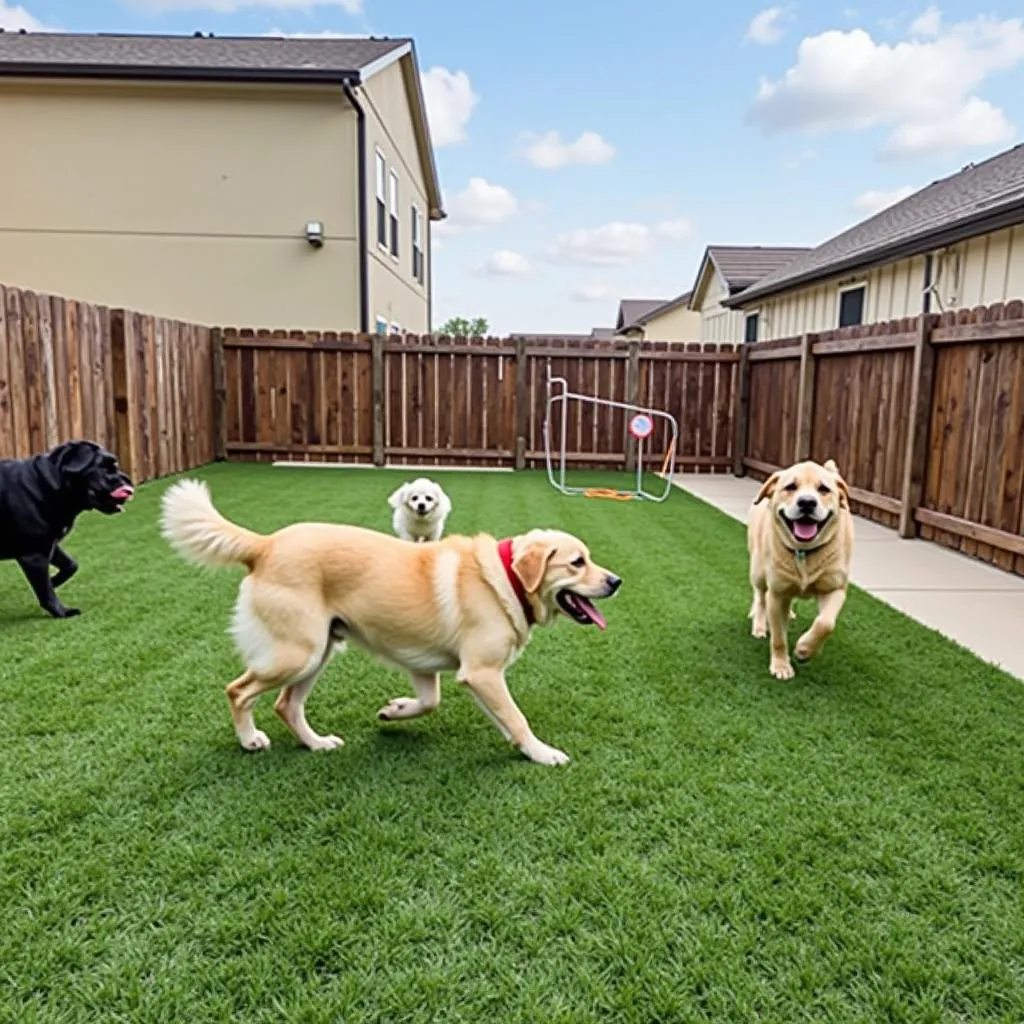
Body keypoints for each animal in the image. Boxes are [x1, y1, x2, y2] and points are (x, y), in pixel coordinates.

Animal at [0, 438, 134, 614]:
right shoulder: (34, 554)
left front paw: (54, 580)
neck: (46, 485)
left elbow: (71, 565)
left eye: (115, 465)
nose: (128, 480)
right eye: (103, 467)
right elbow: (45, 591)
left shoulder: (49, 544)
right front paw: (62, 612)